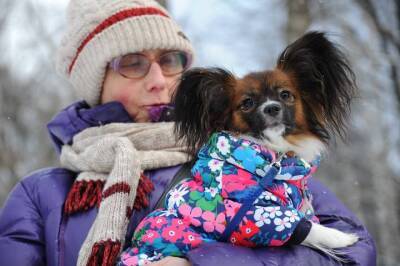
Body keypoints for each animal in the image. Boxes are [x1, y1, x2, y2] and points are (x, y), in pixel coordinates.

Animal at [172, 31, 360, 258]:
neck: (275, 156)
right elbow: (308, 227)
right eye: (247, 103)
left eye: (285, 95)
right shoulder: (254, 214)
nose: (271, 108)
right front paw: (342, 237)